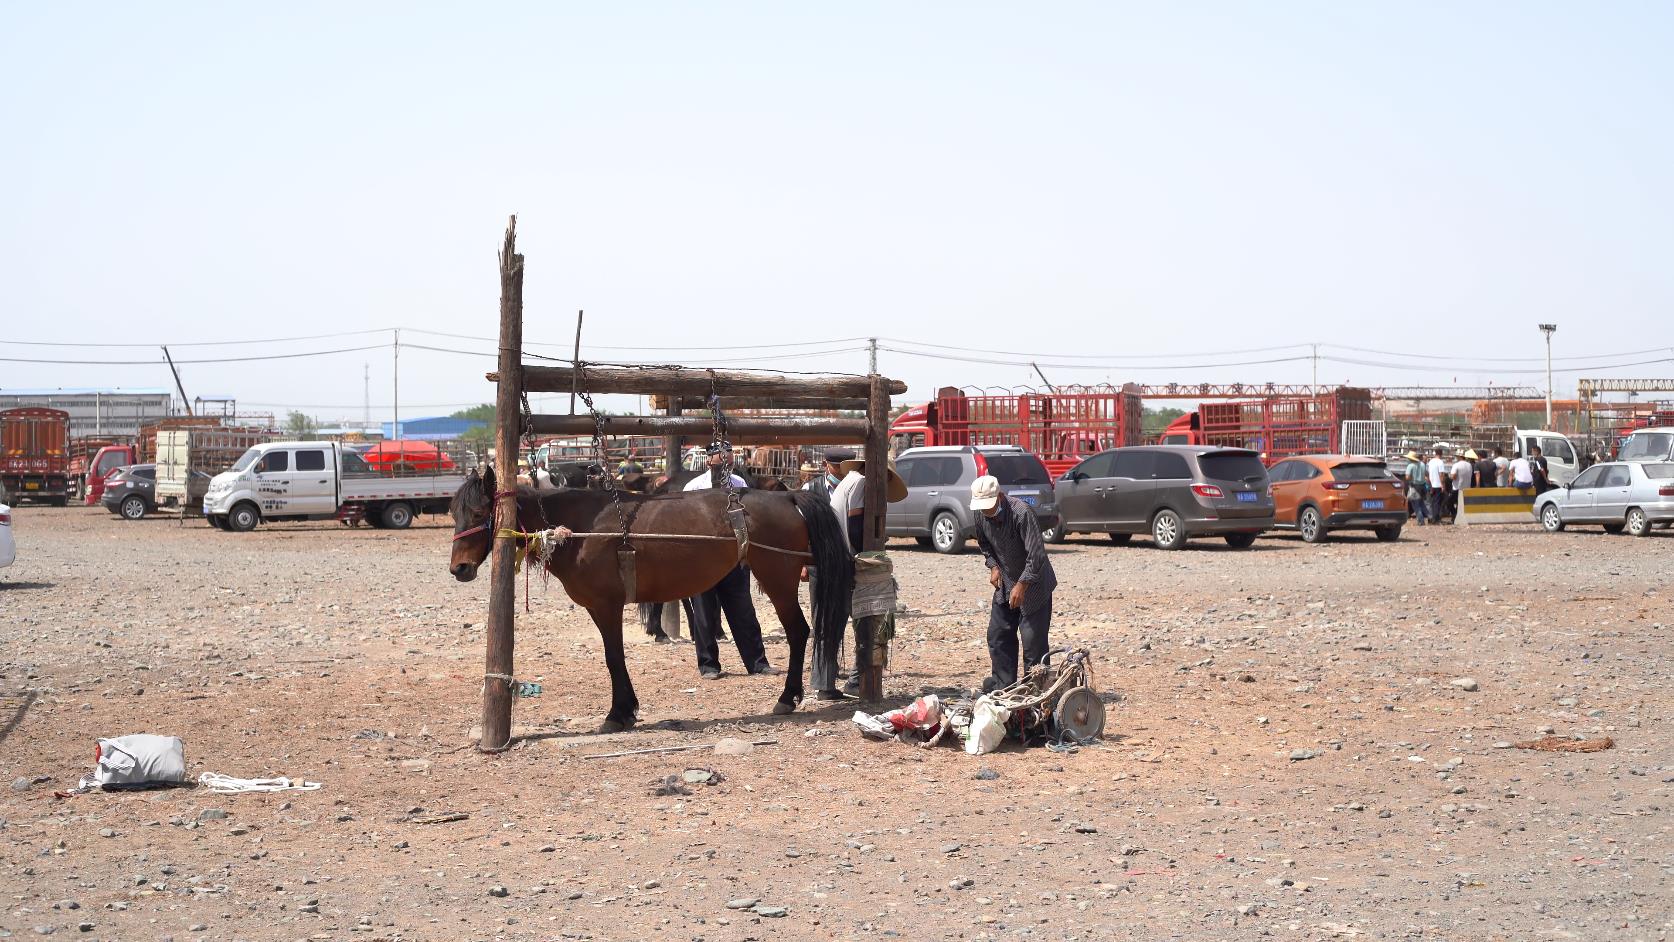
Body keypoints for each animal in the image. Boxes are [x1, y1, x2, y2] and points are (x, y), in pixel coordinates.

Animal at [448, 468, 850, 732]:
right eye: (454, 513)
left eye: (480, 513)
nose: (459, 568)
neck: (580, 529)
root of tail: (787, 495)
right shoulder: (599, 608)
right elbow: (615, 656)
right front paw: (626, 710)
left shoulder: (606, 605)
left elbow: (613, 657)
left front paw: (618, 713)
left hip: (778, 579)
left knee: (799, 632)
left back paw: (787, 697)